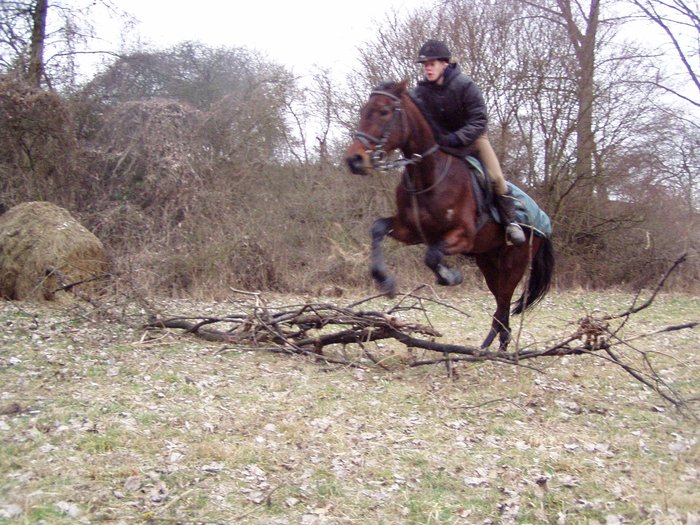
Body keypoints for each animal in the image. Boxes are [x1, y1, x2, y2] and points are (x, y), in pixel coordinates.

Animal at [344, 80, 552, 350]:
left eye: (384, 112)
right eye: (363, 111)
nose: (354, 160)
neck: (428, 175)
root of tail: (546, 222)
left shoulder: (461, 236)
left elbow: (432, 256)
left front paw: (450, 276)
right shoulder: (411, 230)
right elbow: (378, 228)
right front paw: (385, 282)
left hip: (513, 264)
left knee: (504, 302)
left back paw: (497, 348)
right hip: (488, 262)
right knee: (500, 305)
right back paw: (487, 347)